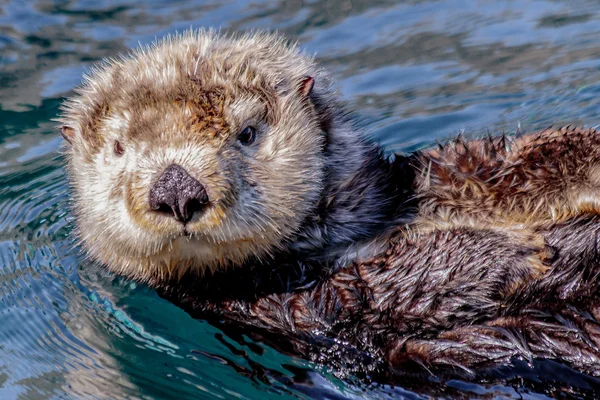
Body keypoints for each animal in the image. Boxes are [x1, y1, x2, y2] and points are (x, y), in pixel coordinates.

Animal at [57, 30, 600, 382]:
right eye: (120, 149)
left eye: (247, 133)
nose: (176, 192)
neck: (338, 234)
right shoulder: (285, 309)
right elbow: (380, 288)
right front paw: (520, 252)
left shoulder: (426, 179)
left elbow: (488, 164)